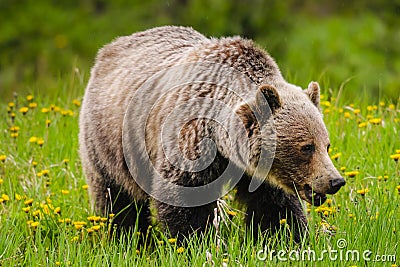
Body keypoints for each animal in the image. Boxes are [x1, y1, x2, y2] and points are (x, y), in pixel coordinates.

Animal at [79, 25, 346, 243]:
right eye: (306, 147)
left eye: (327, 145)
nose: (335, 181)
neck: (222, 141)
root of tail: (109, 49)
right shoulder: (191, 138)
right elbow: (185, 201)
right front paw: (196, 241)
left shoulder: (260, 172)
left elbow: (275, 207)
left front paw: (287, 239)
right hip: (110, 142)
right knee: (117, 198)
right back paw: (127, 238)